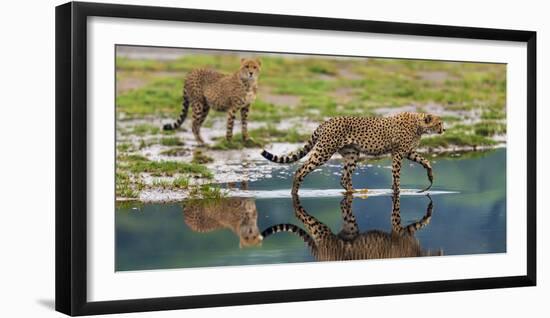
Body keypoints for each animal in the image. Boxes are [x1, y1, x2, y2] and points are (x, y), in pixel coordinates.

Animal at [260, 113, 446, 195]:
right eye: (439, 123)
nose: (444, 129)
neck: (419, 125)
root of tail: (327, 121)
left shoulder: (407, 152)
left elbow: (424, 160)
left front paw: (430, 175)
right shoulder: (398, 153)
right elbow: (396, 174)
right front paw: (397, 190)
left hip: (352, 154)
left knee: (344, 178)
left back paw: (355, 192)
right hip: (324, 151)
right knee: (301, 170)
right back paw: (294, 193)